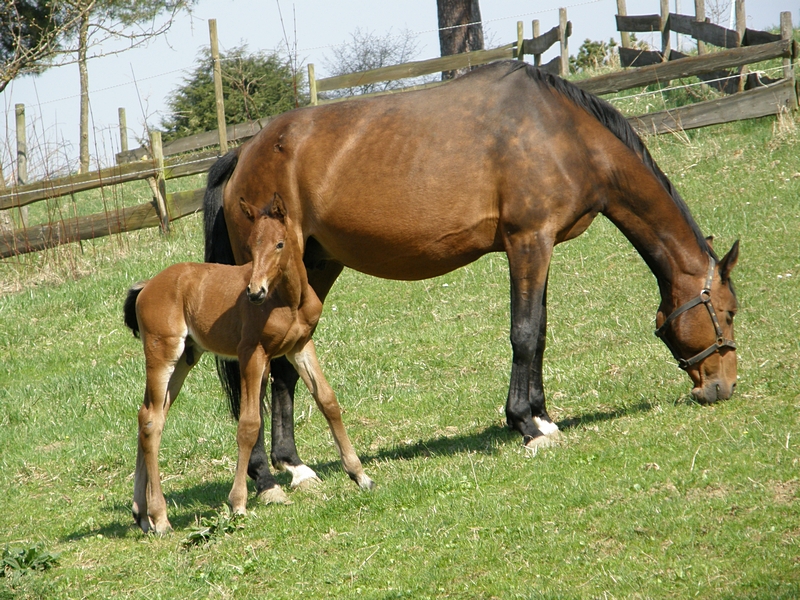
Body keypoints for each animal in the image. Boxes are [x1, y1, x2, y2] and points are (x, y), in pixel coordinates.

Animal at [203, 62, 740, 502]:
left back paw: (294, 467)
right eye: (730, 312)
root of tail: (242, 155)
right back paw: (265, 478)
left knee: (285, 368)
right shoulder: (529, 242)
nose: (722, 387)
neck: (560, 131)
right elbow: (523, 333)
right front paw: (525, 424)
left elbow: (540, 333)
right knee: (259, 367)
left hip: (312, 268)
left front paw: (545, 417)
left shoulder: (541, 247)